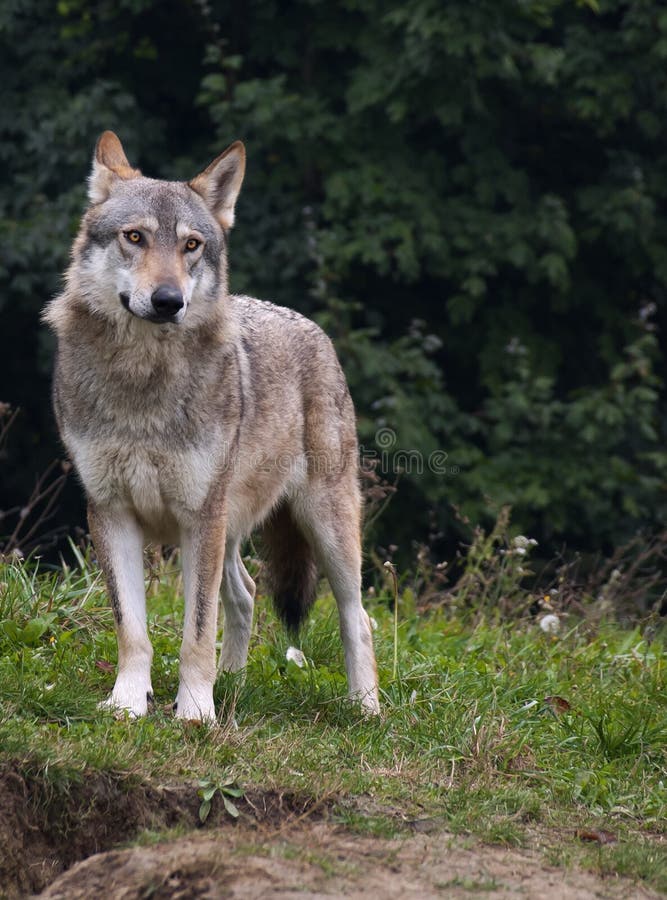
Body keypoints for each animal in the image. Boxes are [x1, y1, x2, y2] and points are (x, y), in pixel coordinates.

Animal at [44, 134, 380, 720]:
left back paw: (366, 709)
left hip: (320, 522)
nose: (168, 301)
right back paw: (234, 683)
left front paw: (196, 712)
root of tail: (311, 326)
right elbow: (133, 629)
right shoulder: (111, 511)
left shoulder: (200, 515)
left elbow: (196, 631)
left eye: (192, 245)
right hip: (230, 530)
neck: (144, 384)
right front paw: (128, 703)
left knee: (356, 614)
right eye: (135, 237)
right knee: (245, 594)